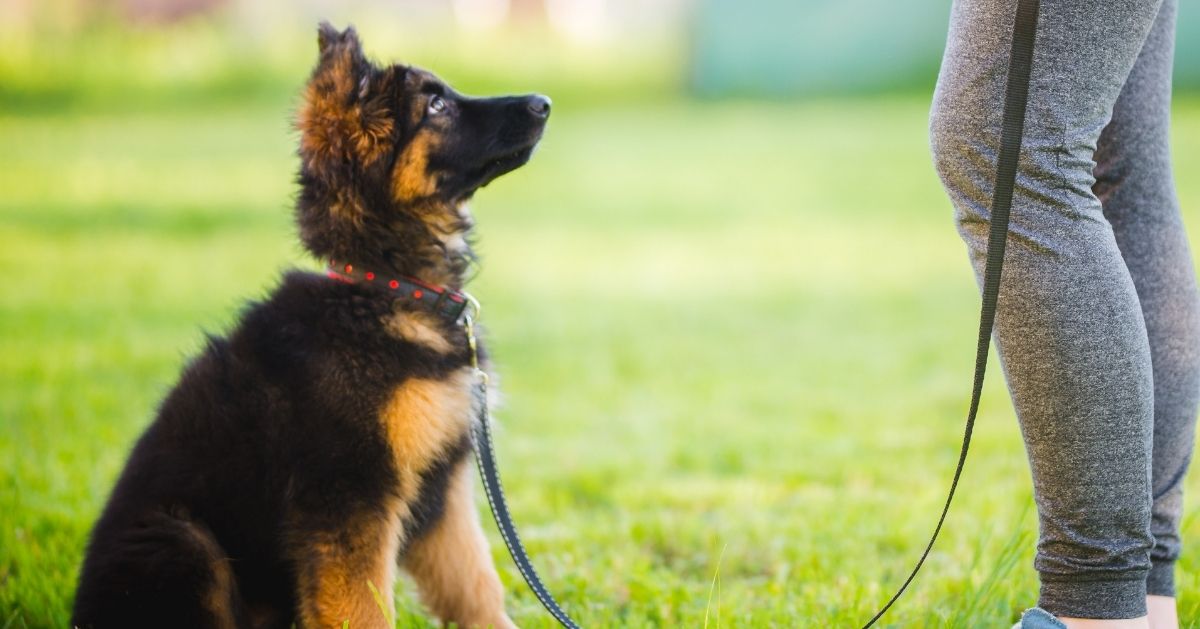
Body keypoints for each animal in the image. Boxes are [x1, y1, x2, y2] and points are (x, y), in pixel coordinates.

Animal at [70, 22, 549, 624]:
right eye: (436, 105)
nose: (544, 103)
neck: (384, 289)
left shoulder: (444, 489)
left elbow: (476, 584)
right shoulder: (349, 494)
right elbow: (365, 608)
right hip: (183, 541)